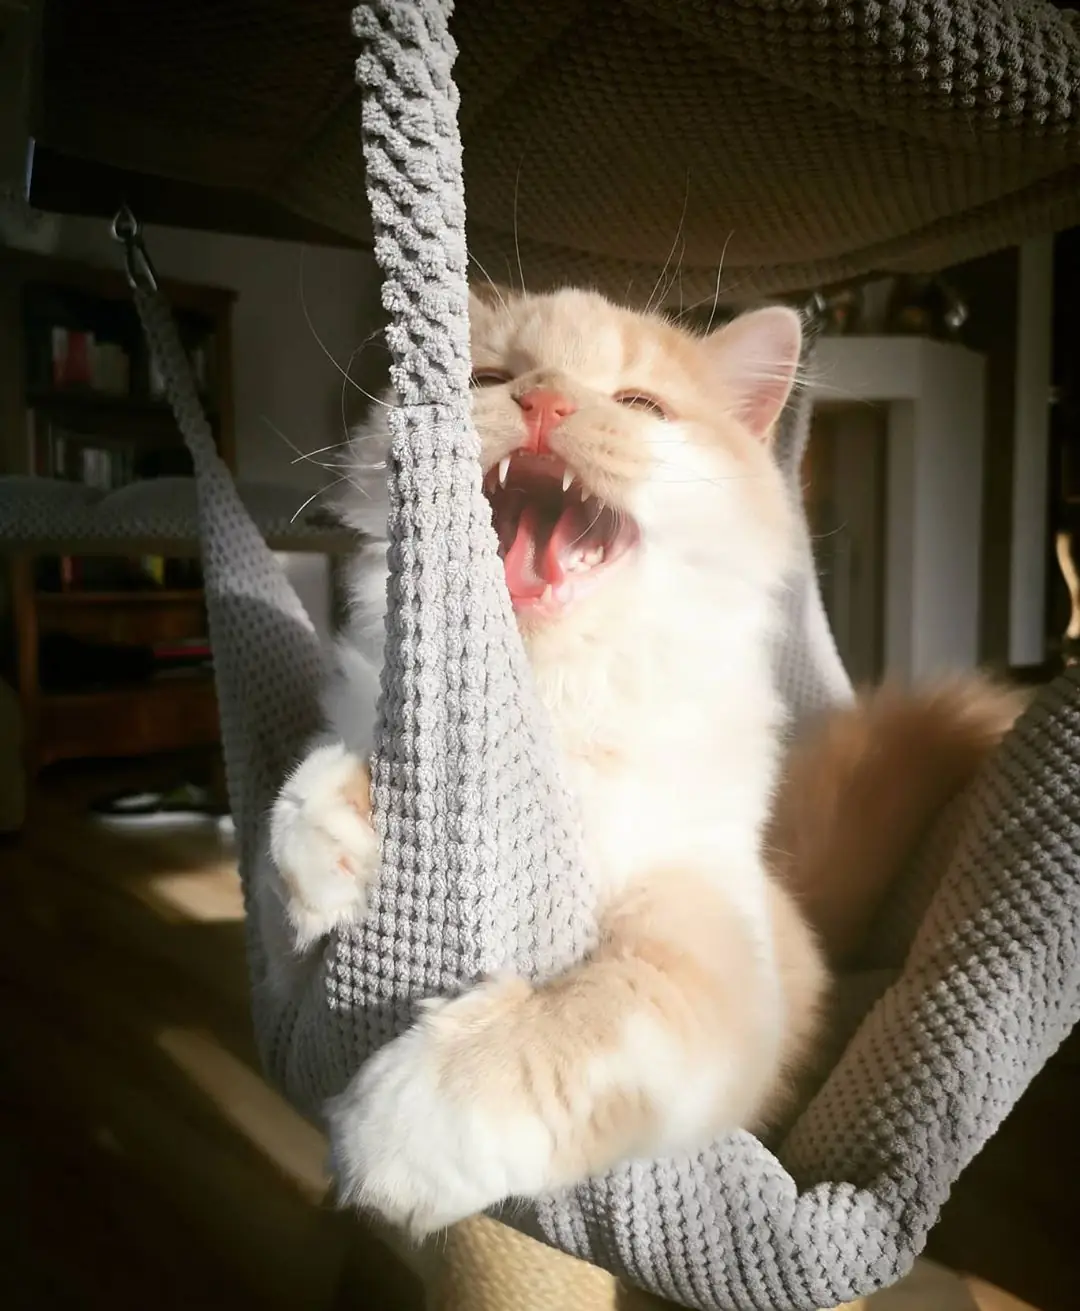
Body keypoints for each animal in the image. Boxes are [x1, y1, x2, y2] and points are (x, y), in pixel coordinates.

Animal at [265, 285, 1022, 1239]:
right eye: (489, 378)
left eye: (639, 405)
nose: (546, 403)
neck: (543, 714)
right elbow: (301, 819)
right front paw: (335, 833)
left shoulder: (706, 952)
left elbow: (581, 1025)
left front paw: (401, 1125)